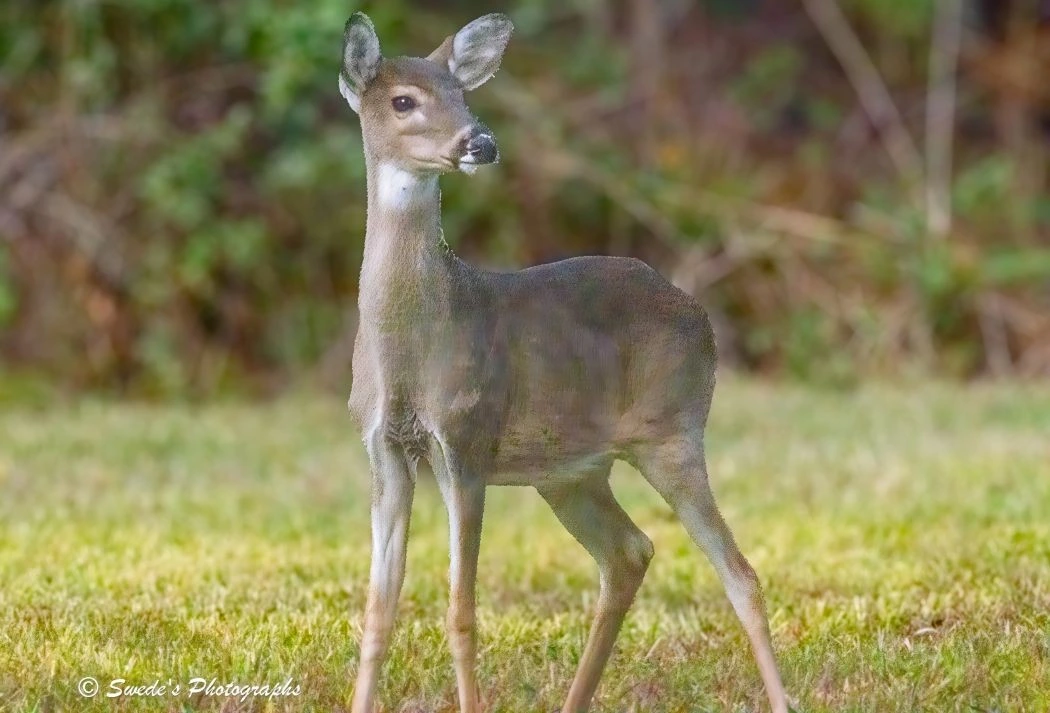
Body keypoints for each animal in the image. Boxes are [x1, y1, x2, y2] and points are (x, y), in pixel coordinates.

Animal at [339, 11, 790, 713]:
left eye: (463, 94)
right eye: (403, 100)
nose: (481, 142)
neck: (412, 349)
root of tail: (698, 312)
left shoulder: (467, 439)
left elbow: (461, 611)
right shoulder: (381, 445)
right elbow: (378, 612)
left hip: (672, 432)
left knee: (739, 574)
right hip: (570, 471)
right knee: (629, 551)